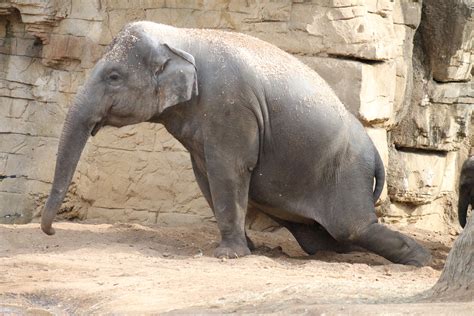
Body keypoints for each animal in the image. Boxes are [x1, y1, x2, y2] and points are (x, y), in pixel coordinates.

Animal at [40, 21, 432, 266]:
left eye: (113, 76)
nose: (52, 230)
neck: (183, 36)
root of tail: (376, 155)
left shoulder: (230, 106)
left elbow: (227, 171)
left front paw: (229, 256)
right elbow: (205, 176)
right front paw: (248, 247)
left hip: (346, 171)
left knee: (352, 227)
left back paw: (420, 259)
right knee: (323, 239)